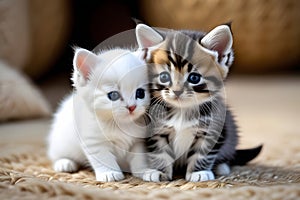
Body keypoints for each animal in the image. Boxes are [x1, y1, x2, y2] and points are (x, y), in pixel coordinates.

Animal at [48, 47, 156, 182]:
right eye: (113, 95)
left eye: (140, 93)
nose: (132, 107)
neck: (120, 125)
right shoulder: (94, 141)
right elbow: (104, 158)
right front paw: (109, 173)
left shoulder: (138, 142)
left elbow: (140, 158)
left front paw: (145, 171)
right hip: (60, 142)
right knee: (56, 155)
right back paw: (64, 163)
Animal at [136, 24, 260, 182]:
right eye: (164, 77)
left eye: (194, 78)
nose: (177, 91)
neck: (182, 111)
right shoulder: (156, 130)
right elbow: (159, 152)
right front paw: (159, 171)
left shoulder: (212, 130)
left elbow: (202, 153)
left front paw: (198, 172)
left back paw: (221, 167)